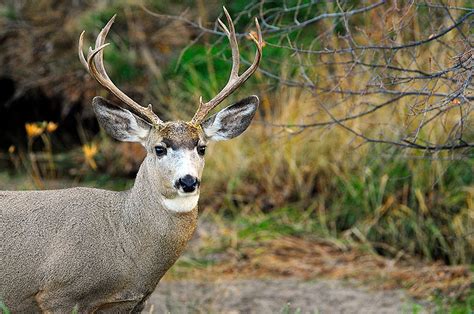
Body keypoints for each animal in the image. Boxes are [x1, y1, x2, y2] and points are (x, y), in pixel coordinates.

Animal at [0, 8, 262, 312]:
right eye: (159, 148)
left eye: (202, 148)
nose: (188, 181)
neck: (123, 242)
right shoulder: (57, 294)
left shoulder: (133, 302)